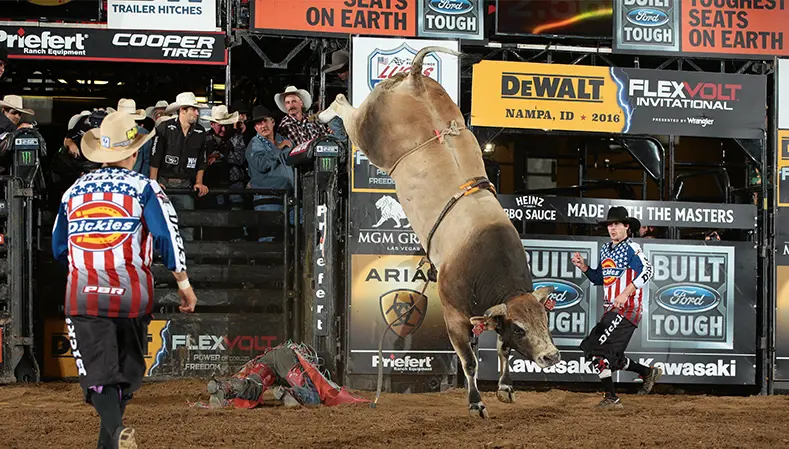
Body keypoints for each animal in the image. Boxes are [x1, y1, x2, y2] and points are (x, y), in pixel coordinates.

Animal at [327, 46, 561, 418]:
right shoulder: (454, 315)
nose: (551, 356)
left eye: (545, 320)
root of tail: (414, 77)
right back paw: (324, 114)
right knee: (341, 106)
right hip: (365, 129)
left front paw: (506, 388)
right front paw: (476, 402)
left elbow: (502, 349)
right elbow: (469, 362)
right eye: (521, 328)